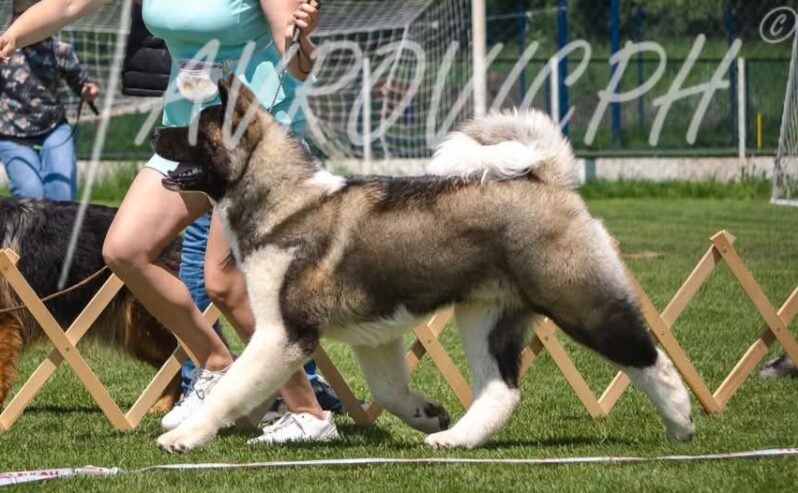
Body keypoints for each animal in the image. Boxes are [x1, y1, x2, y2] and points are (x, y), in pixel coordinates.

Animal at [148, 78, 692, 454]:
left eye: (195, 128)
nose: (155, 130)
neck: (282, 200)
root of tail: (547, 177)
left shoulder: (281, 335)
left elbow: (231, 389)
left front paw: (186, 436)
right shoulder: (373, 335)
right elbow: (388, 390)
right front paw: (426, 414)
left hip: (579, 300)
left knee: (646, 355)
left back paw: (682, 420)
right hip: (485, 317)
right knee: (501, 389)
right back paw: (454, 440)